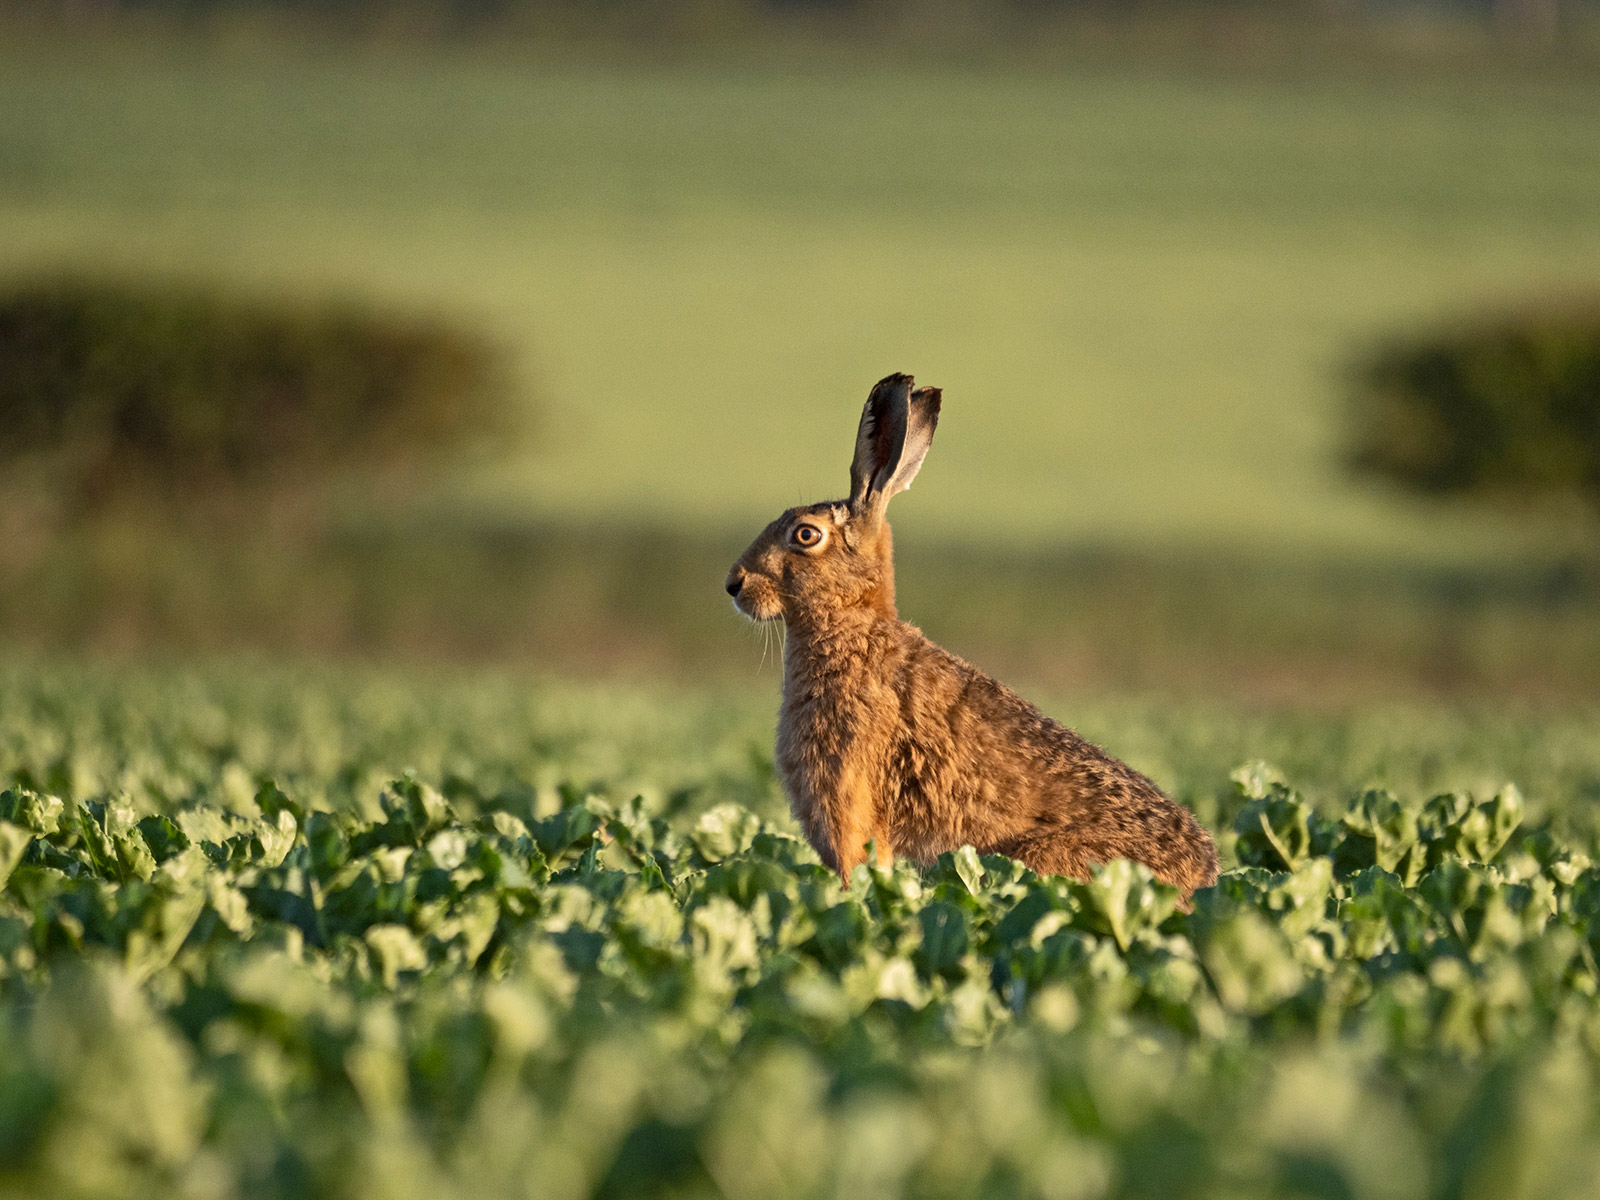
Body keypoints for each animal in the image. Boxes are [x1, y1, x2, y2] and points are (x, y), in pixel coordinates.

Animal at [725, 372, 1219, 902]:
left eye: (805, 535)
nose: (734, 584)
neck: (853, 625)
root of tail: (1202, 879)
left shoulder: (847, 797)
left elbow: (854, 866)